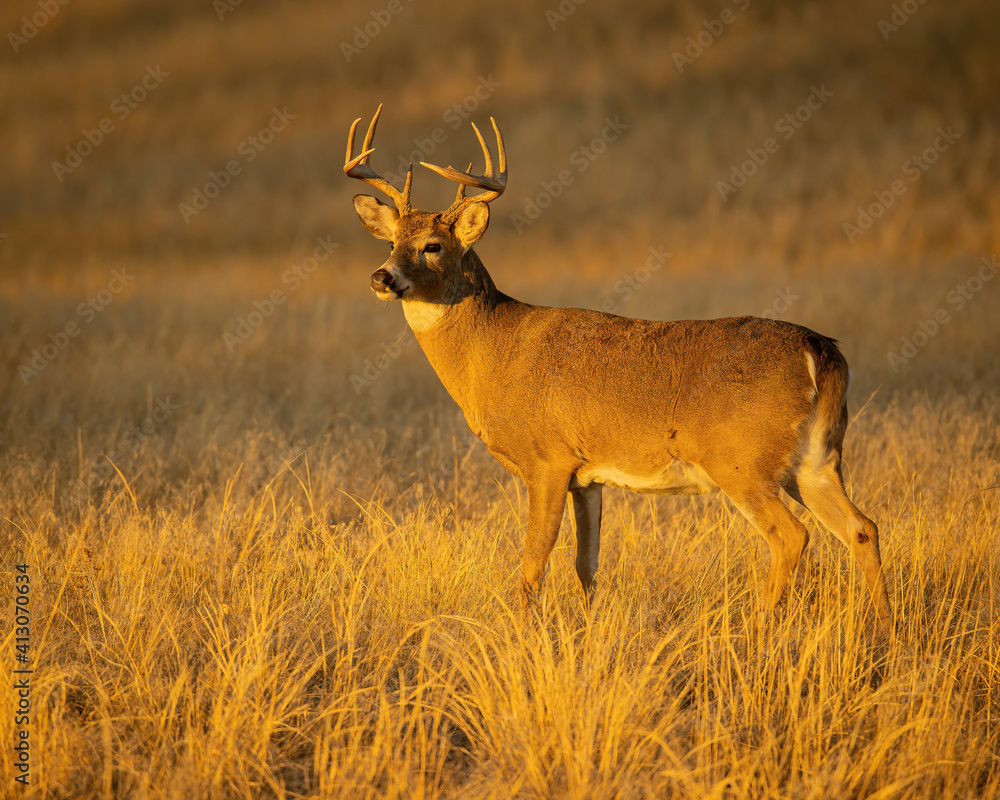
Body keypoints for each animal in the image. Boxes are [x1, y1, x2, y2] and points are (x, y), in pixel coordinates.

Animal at [344, 104, 892, 634]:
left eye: (433, 245)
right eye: (390, 242)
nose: (381, 277)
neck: (494, 352)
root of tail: (820, 349)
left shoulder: (549, 458)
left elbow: (533, 563)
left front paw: (522, 636)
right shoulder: (588, 476)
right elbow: (586, 564)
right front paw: (589, 632)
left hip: (742, 460)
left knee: (791, 534)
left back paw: (760, 631)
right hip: (815, 460)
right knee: (862, 527)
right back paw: (885, 629)